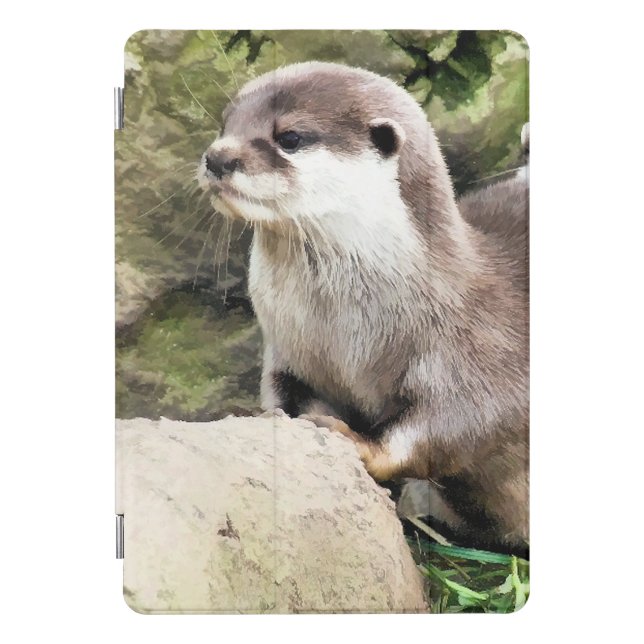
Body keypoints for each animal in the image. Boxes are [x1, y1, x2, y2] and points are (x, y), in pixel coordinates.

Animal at [198, 62, 528, 551]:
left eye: (289, 137)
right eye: (225, 124)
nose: (217, 158)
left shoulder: (481, 352)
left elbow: (462, 424)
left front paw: (358, 443)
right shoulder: (286, 352)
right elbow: (281, 391)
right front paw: (274, 417)